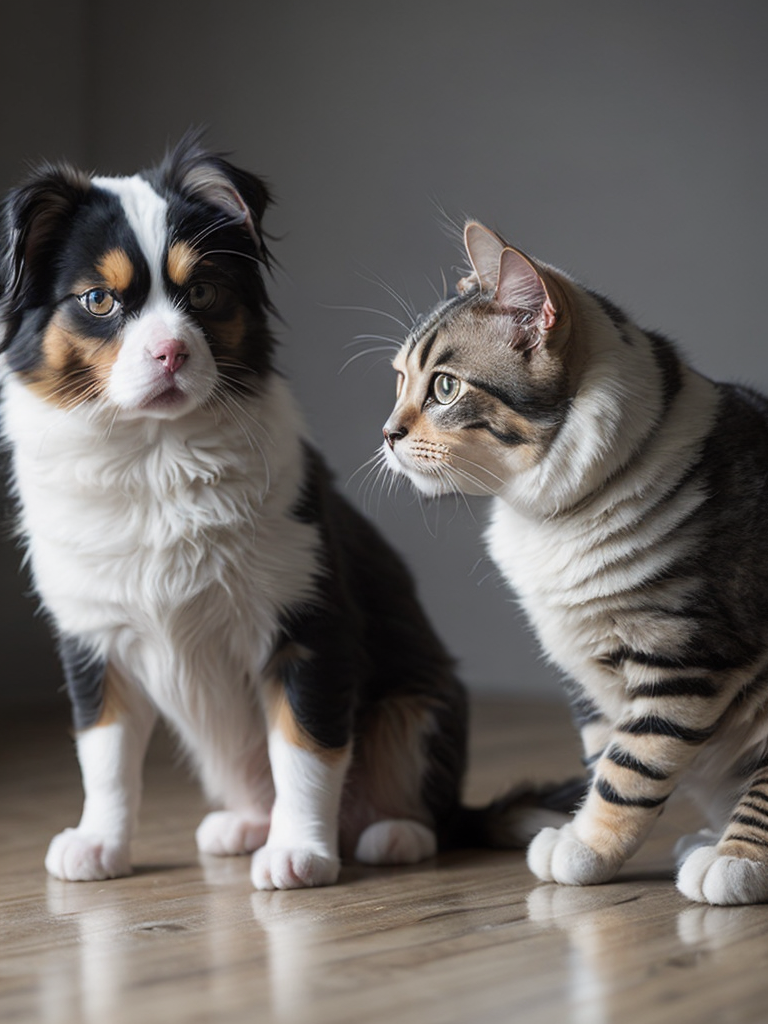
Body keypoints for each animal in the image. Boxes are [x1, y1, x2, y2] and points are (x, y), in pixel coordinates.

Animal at [0, 142, 577, 888]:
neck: (154, 457)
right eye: (99, 300)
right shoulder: (93, 641)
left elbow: (305, 748)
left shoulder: (308, 626)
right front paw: (98, 843)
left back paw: (392, 834)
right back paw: (245, 825)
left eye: (204, 293)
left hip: (418, 706)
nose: (171, 352)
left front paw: (300, 852)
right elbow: (104, 757)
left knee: (427, 811)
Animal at [382, 222, 768, 905]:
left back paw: (730, 857)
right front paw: (588, 841)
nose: (386, 433)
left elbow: (632, 766)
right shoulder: (582, 667)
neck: (549, 518)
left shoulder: (686, 655)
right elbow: (604, 756)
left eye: (445, 387)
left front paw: (585, 847)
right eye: (399, 379)